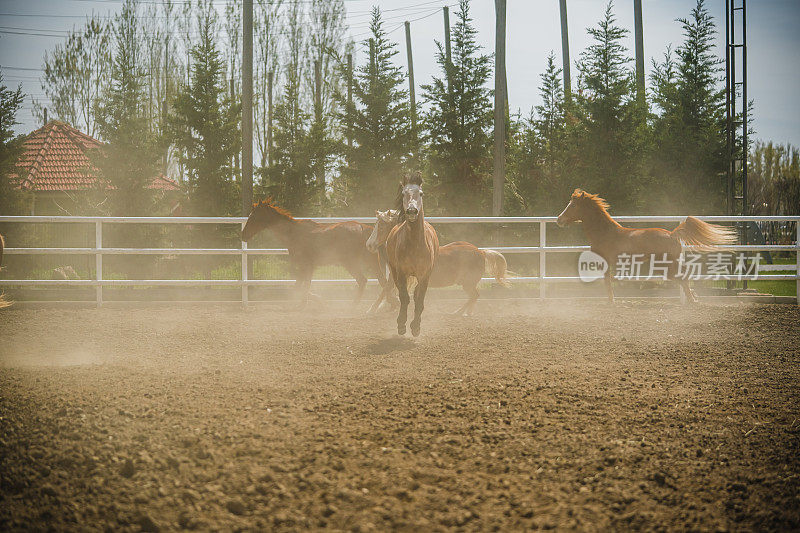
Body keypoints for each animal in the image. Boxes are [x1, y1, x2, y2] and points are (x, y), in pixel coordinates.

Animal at [241, 198, 384, 308]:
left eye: (254, 216)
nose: (243, 235)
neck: (293, 234)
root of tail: (363, 228)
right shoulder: (307, 267)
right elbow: (301, 286)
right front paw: (318, 301)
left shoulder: (306, 266)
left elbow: (301, 287)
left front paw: (307, 304)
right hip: (370, 260)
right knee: (381, 281)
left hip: (351, 263)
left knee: (364, 281)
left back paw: (355, 306)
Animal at [368, 209, 512, 316]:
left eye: (381, 226)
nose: (369, 244)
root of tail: (481, 252)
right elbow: (387, 289)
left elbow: (385, 290)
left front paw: (372, 309)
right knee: (474, 296)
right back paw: (467, 312)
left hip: (467, 283)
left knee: (474, 296)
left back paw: (457, 312)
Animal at [386, 175, 438, 334]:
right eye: (403, 193)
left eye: (421, 193)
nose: (411, 211)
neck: (415, 244)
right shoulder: (401, 273)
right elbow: (404, 297)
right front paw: (401, 324)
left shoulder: (425, 275)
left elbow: (419, 299)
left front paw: (415, 326)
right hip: (394, 271)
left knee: (416, 295)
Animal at [556, 189, 736, 302]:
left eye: (573, 205)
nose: (559, 219)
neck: (605, 233)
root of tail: (672, 234)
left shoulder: (605, 262)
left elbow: (607, 283)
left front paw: (611, 302)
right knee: (684, 275)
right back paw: (694, 297)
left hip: (667, 265)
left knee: (683, 276)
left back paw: (692, 300)